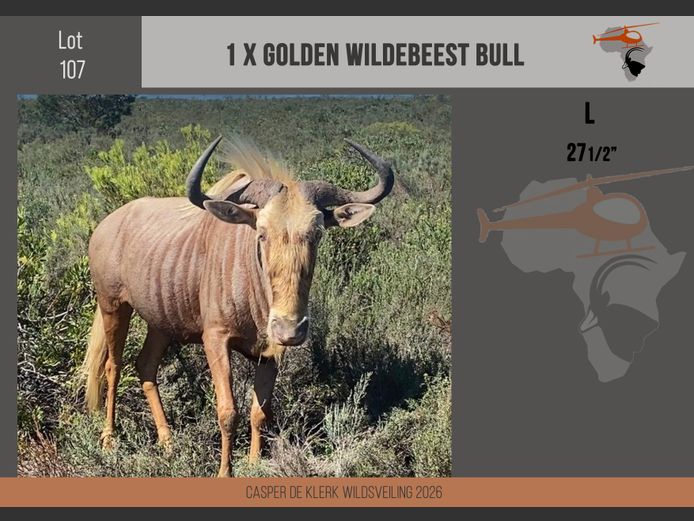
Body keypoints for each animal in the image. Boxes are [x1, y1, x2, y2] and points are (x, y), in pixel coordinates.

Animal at [82, 137, 395, 477]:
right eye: (262, 233)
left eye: (317, 233)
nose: (290, 329)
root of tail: (105, 225)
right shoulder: (215, 340)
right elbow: (228, 411)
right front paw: (224, 472)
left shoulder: (270, 352)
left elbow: (260, 412)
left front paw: (254, 463)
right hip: (113, 307)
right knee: (112, 367)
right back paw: (109, 440)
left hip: (161, 323)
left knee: (145, 366)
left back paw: (167, 442)